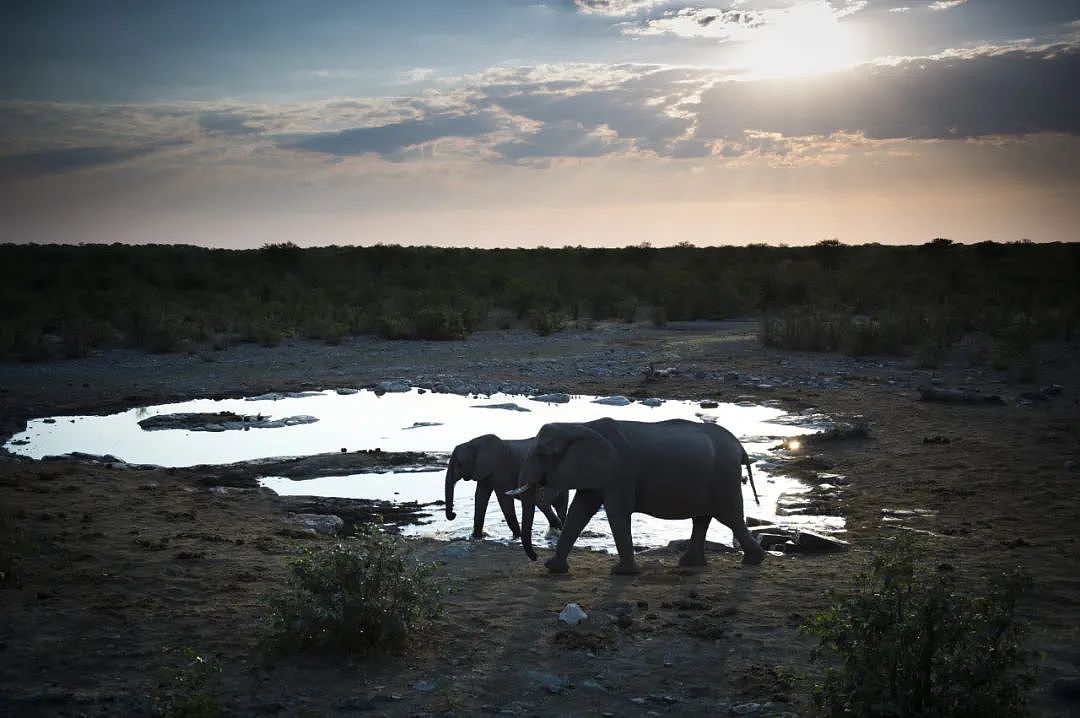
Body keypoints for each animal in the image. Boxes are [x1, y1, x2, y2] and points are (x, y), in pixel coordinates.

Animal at [442, 434, 570, 539]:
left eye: (459, 463)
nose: (453, 514)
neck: (473, 444)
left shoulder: (500, 470)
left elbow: (504, 499)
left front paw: (517, 536)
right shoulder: (485, 471)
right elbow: (480, 496)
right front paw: (476, 537)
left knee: (543, 502)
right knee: (560, 506)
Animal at [503, 416, 760, 574]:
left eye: (544, 454)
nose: (535, 558)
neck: (580, 425)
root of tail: (740, 447)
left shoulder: (620, 474)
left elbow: (617, 513)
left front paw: (622, 572)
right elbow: (580, 510)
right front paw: (553, 568)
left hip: (723, 477)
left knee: (729, 516)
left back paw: (754, 561)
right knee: (703, 517)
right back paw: (691, 564)